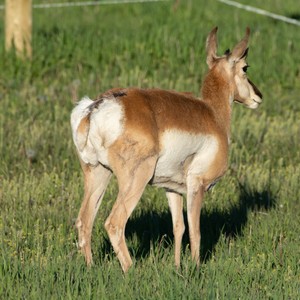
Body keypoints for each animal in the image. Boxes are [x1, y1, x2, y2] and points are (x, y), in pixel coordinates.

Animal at [70, 27, 262, 272]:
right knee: (114, 223)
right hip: (135, 180)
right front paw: (195, 268)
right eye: (245, 67)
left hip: (98, 173)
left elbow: (178, 227)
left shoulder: (172, 189)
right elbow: (195, 230)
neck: (213, 114)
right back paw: (132, 269)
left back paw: (91, 267)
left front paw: (178, 267)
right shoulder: (197, 185)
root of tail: (95, 108)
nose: (258, 96)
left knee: (84, 221)